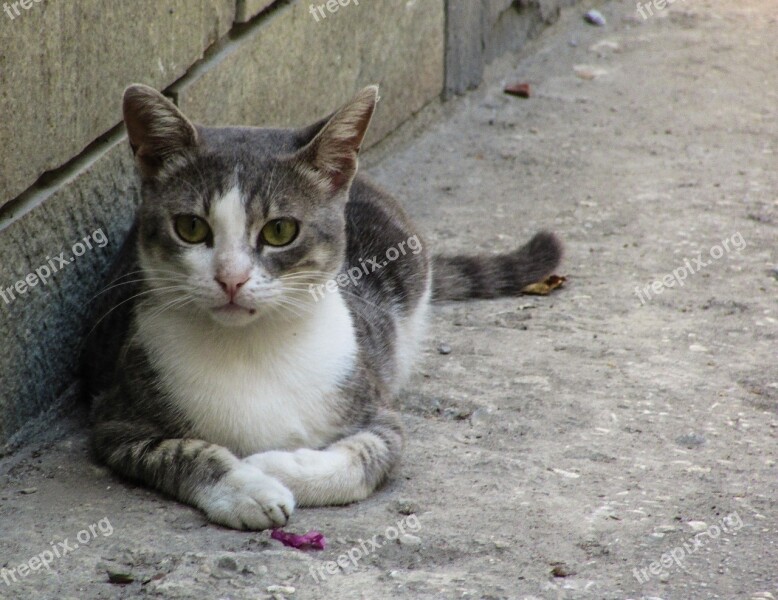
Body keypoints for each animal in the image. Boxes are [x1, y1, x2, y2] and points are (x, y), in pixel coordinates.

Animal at [83, 84, 556, 528]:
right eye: (191, 227)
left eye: (279, 231)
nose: (231, 277)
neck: (252, 347)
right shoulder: (116, 420)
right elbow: (183, 454)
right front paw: (248, 489)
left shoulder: (378, 411)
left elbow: (364, 459)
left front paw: (271, 465)